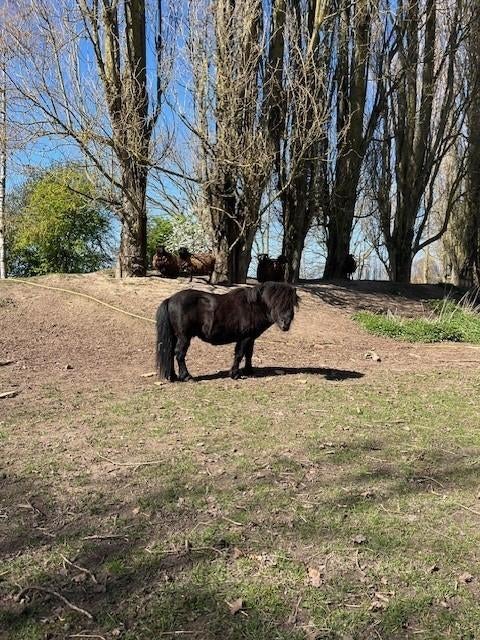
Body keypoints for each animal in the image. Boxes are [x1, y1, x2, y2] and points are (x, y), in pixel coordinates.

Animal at [156, 281, 300, 382]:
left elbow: (249, 354)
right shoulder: (244, 337)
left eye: (291, 303)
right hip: (184, 337)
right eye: (277, 302)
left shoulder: (251, 338)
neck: (253, 307)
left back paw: (172, 376)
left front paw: (249, 371)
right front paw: (235, 374)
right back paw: (186, 376)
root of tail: (170, 299)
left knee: (170, 353)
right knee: (179, 354)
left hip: (175, 336)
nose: (286, 324)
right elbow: (239, 354)